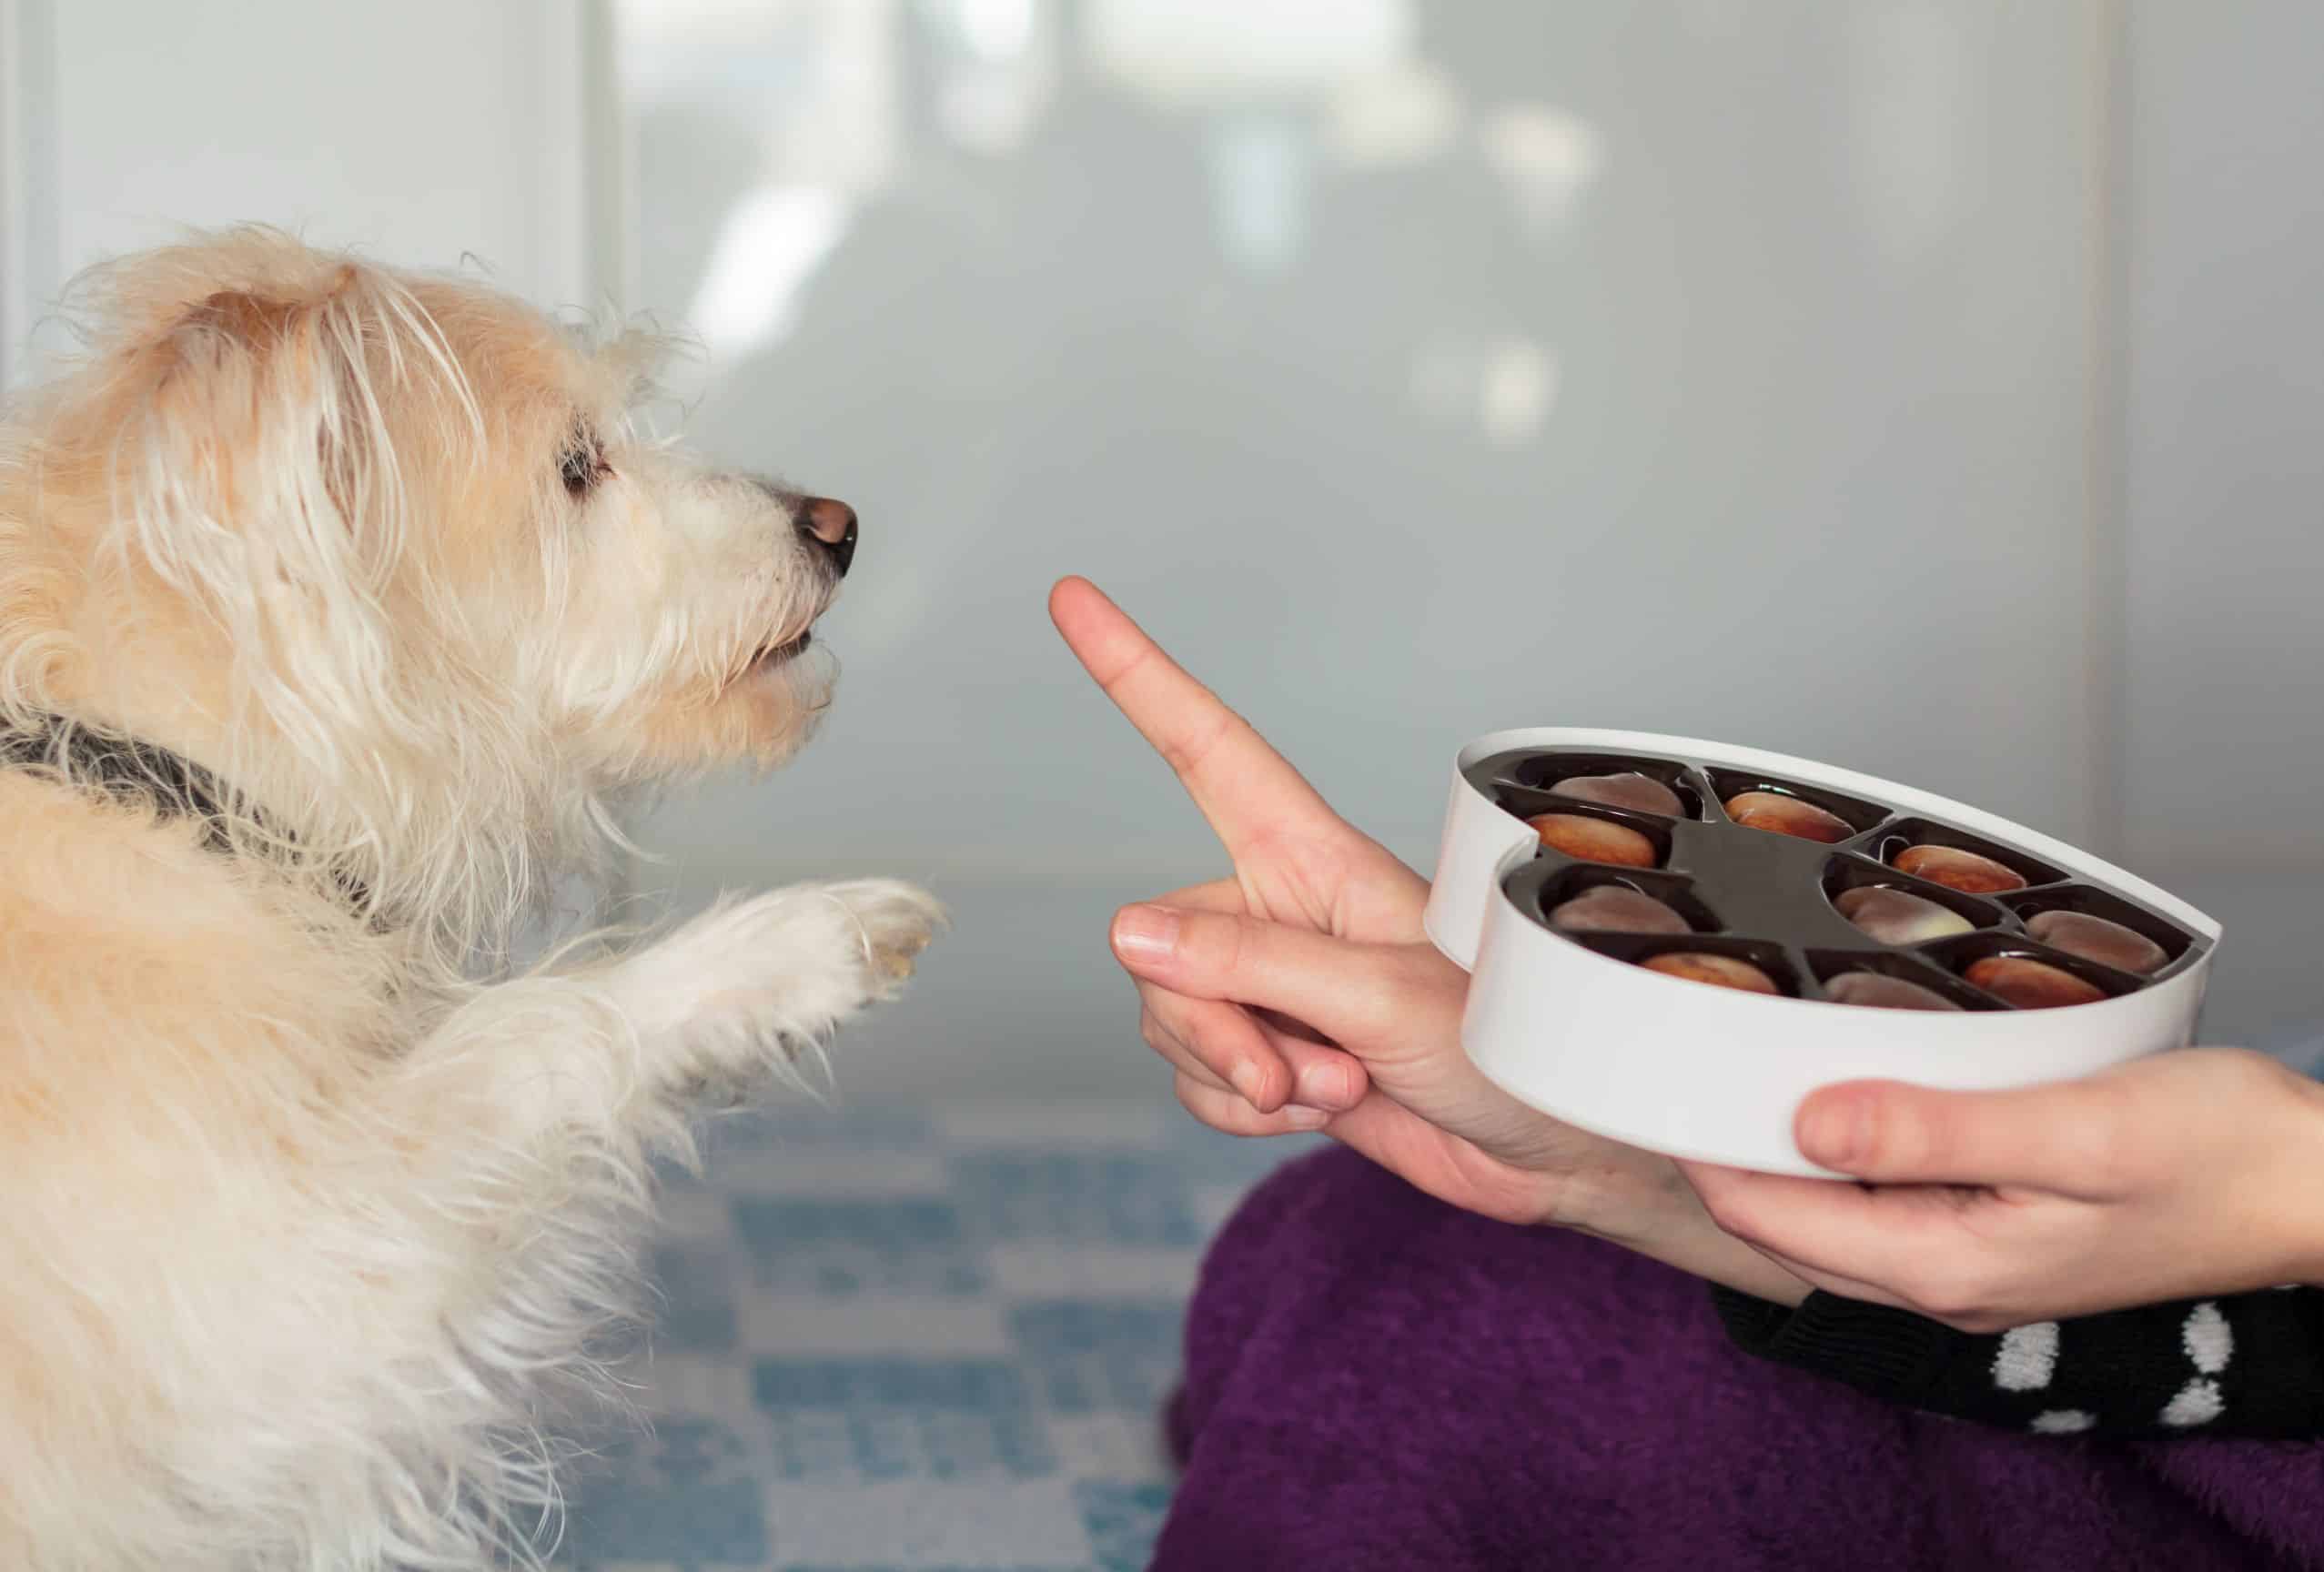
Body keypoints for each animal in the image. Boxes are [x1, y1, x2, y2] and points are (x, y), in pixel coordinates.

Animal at [2, 233, 943, 1569]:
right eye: (577, 468)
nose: (840, 525)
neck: (165, 780)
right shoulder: (282, 1287)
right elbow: (529, 1031)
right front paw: (787, 949)